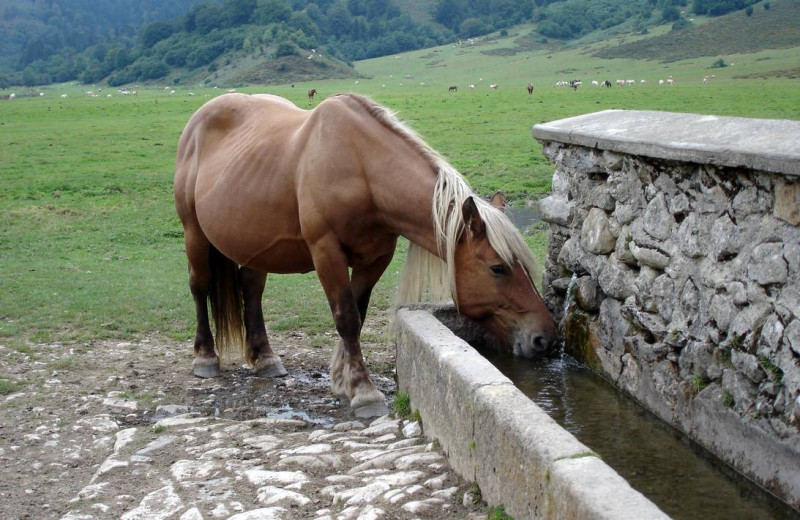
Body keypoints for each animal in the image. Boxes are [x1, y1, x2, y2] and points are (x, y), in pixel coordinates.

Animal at [174, 93, 559, 418]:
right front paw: (364, 391)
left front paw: (343, 378)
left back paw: (265, 358)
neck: (361, 169)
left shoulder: (376, 258)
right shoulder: (325, 252)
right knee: (199, 286)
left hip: (257, 248)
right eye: (498, 268)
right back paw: (206, 357)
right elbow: (345, 317)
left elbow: (357, 314)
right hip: (194, 234)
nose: (544, 337)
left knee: (251, 290)